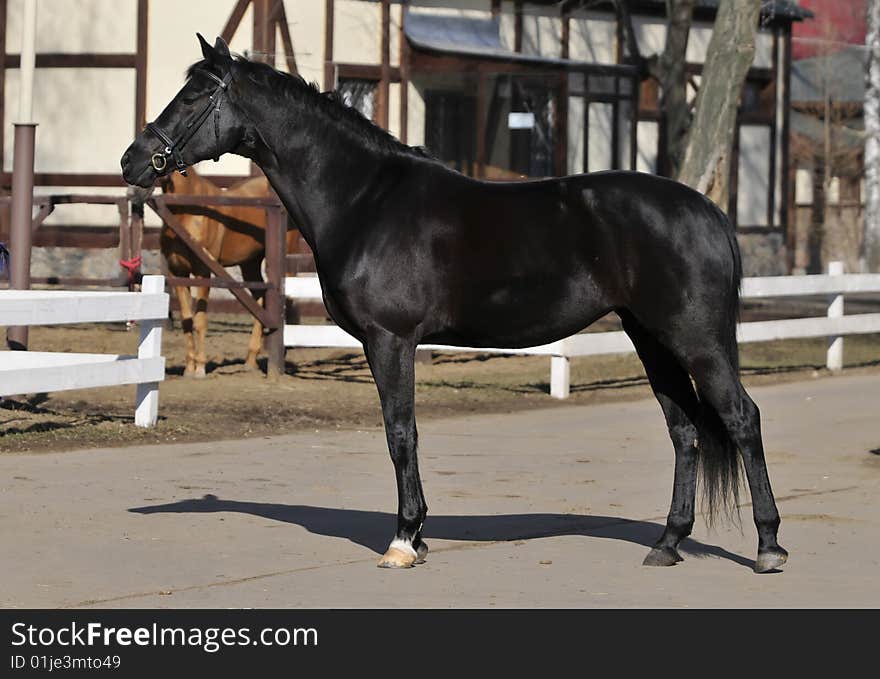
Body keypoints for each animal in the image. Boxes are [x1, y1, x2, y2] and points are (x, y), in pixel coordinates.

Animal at [157, 165, 296, 378]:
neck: (186, 210)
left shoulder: (203, 272)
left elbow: (200, 321)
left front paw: (200, 368)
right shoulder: (178, 274)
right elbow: (187, 321)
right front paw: (189, 368)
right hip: (250, 263)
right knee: (260, 298)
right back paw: (250, 360)